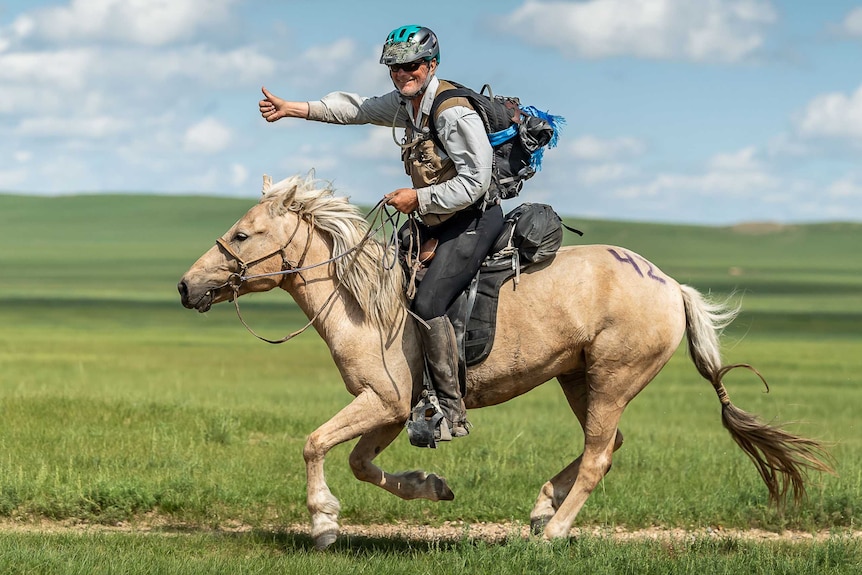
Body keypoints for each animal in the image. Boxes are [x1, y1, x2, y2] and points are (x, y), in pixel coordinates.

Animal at [179, 174, 832, 548]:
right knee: (607, 447)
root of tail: (673, 288)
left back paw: (553, 534)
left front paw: (323, 524)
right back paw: (543, 507)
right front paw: (433, 487)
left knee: (599, 455)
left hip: (611, 379)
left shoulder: (381, 401)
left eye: (243, 235)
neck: (366, 302)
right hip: (579, 379)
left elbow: (313, 444)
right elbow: (362, 464)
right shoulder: (391, 410)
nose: (187, 287)